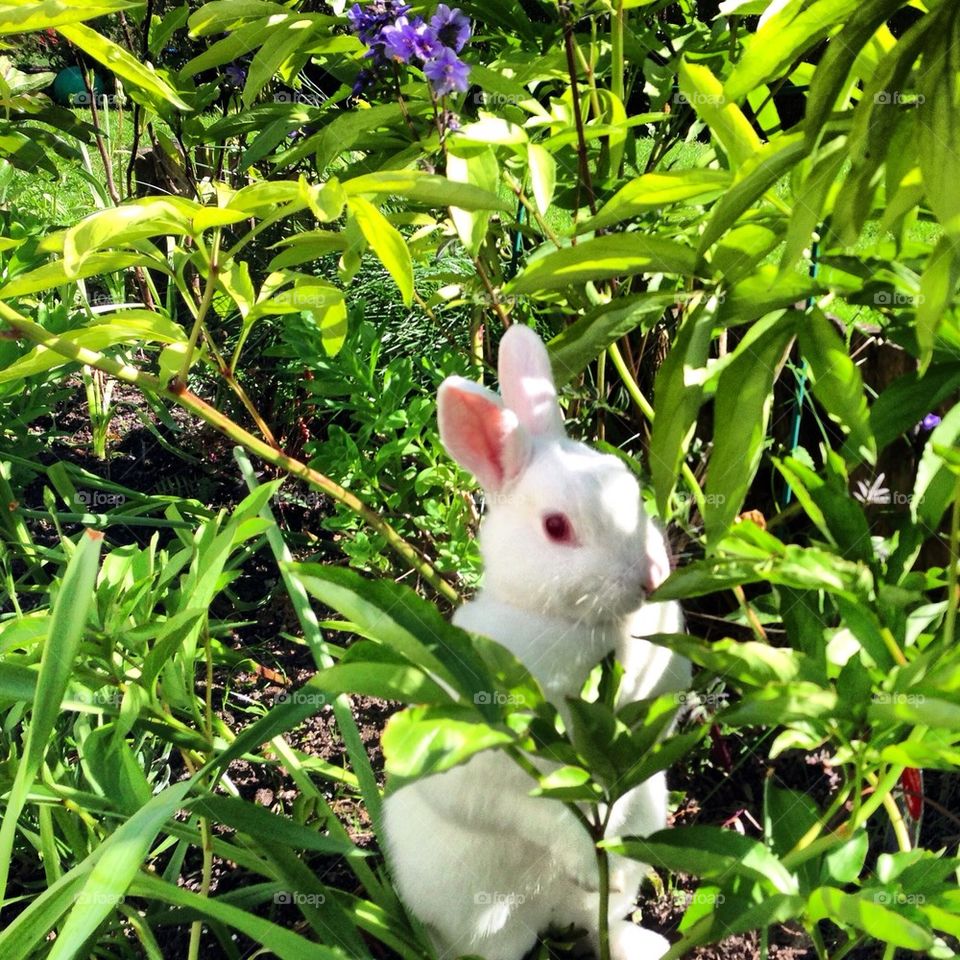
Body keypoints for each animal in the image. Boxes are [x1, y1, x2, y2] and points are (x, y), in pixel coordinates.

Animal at [382, 325, 690, 960]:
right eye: (556, 527)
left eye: (632, 489)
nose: (651, 576)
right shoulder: (507, 770)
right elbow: (544, 814)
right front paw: (590, 862)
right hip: (486, 923)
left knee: (599, 921)